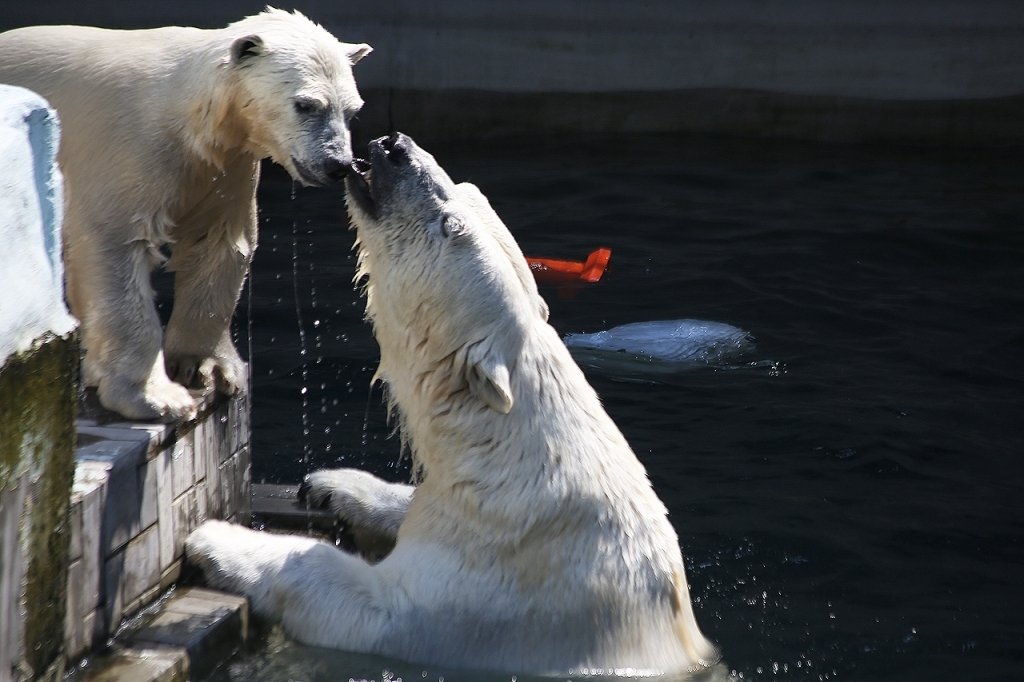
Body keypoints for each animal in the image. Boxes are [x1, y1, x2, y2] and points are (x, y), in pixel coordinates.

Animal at [0, 9, 372, 419]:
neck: (185, 110)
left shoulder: (225, 166)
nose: (338, 165)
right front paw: (154, 397)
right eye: (306, 104)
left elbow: (218, 243)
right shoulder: (127, 149)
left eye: (352, 110)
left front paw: (207, 368)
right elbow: (115, 246)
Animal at [184, 133, 716, 675]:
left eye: (450, 223)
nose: (396, 146)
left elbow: (362, 600)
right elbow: (419, 506)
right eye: (466, 189)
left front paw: (220, 542)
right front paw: (333, 485)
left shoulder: (486, 596)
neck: (507, 457)